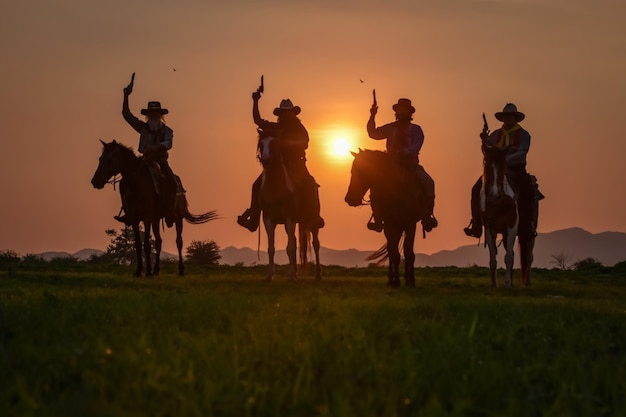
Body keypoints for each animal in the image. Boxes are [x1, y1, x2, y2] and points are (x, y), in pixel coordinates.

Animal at [90, 140, 217, 276]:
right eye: (100, 159)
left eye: (109, 159)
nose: (95, 181)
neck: (137, 184)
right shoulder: (135, 219)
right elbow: (138, 245)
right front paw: (139, 271)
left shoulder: (147, 218)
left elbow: (146, 245)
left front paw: (147, 273)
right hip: (156, 220)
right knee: (158, 242)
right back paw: (156, 270)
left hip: (178, 218)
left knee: (179, 242)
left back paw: (180, 270)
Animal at [255, 128, 322, 282]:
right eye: (261, 144)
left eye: (274, 143)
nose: (265, 160)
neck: (276, 189)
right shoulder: (268, 219)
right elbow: (271, 248)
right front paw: (269, 275)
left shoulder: (289, 218)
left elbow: (290, 247)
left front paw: (291, 275)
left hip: (312, 221)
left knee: (316, 244)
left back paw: (318, 275)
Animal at [342, 148, 424, 288]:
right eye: (352, 170)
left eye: (361, 170)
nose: (349, 199)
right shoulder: (390, 225)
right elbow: (394, 254)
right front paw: (396, 281)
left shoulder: (411, 225)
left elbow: (409, 254)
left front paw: (411, 280)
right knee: (392, 251)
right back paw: (391, 279)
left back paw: (406, 278)